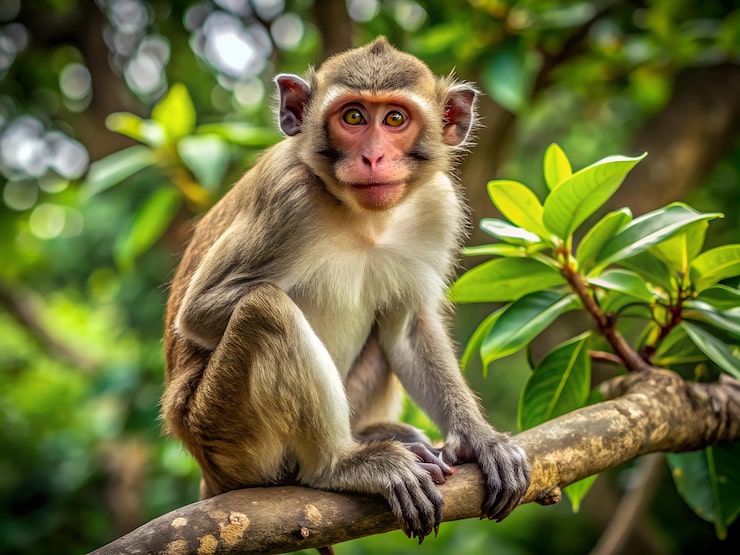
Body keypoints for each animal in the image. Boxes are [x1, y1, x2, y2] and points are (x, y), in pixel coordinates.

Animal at [161, 37, 530, 542]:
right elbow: (200, 313)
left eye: (394, 119)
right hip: (221, 431)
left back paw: (375, 436)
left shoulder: (437, 206)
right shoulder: (289, 198)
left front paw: (480, 438)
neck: (363, 217)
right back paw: (343, 463)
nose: (373, 157)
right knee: (265, 309)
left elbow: (408, 326)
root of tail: (205, 468)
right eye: (353, 117)